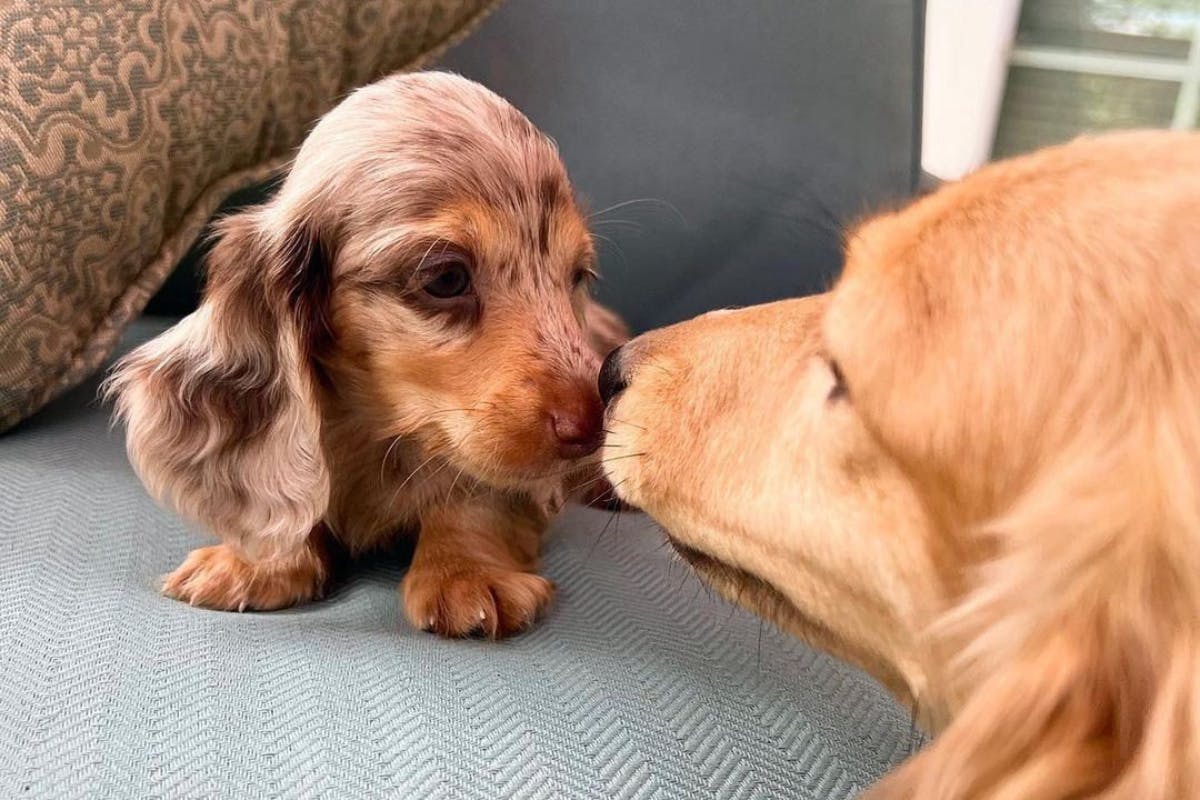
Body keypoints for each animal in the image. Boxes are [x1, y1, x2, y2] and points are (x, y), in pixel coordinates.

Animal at [107, 71, 627, 639]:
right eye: (446, 278)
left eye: (577, 276)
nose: (593, 426)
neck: (378, 432)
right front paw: (256, 562)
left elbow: (475, 495)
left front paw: (466, 570)